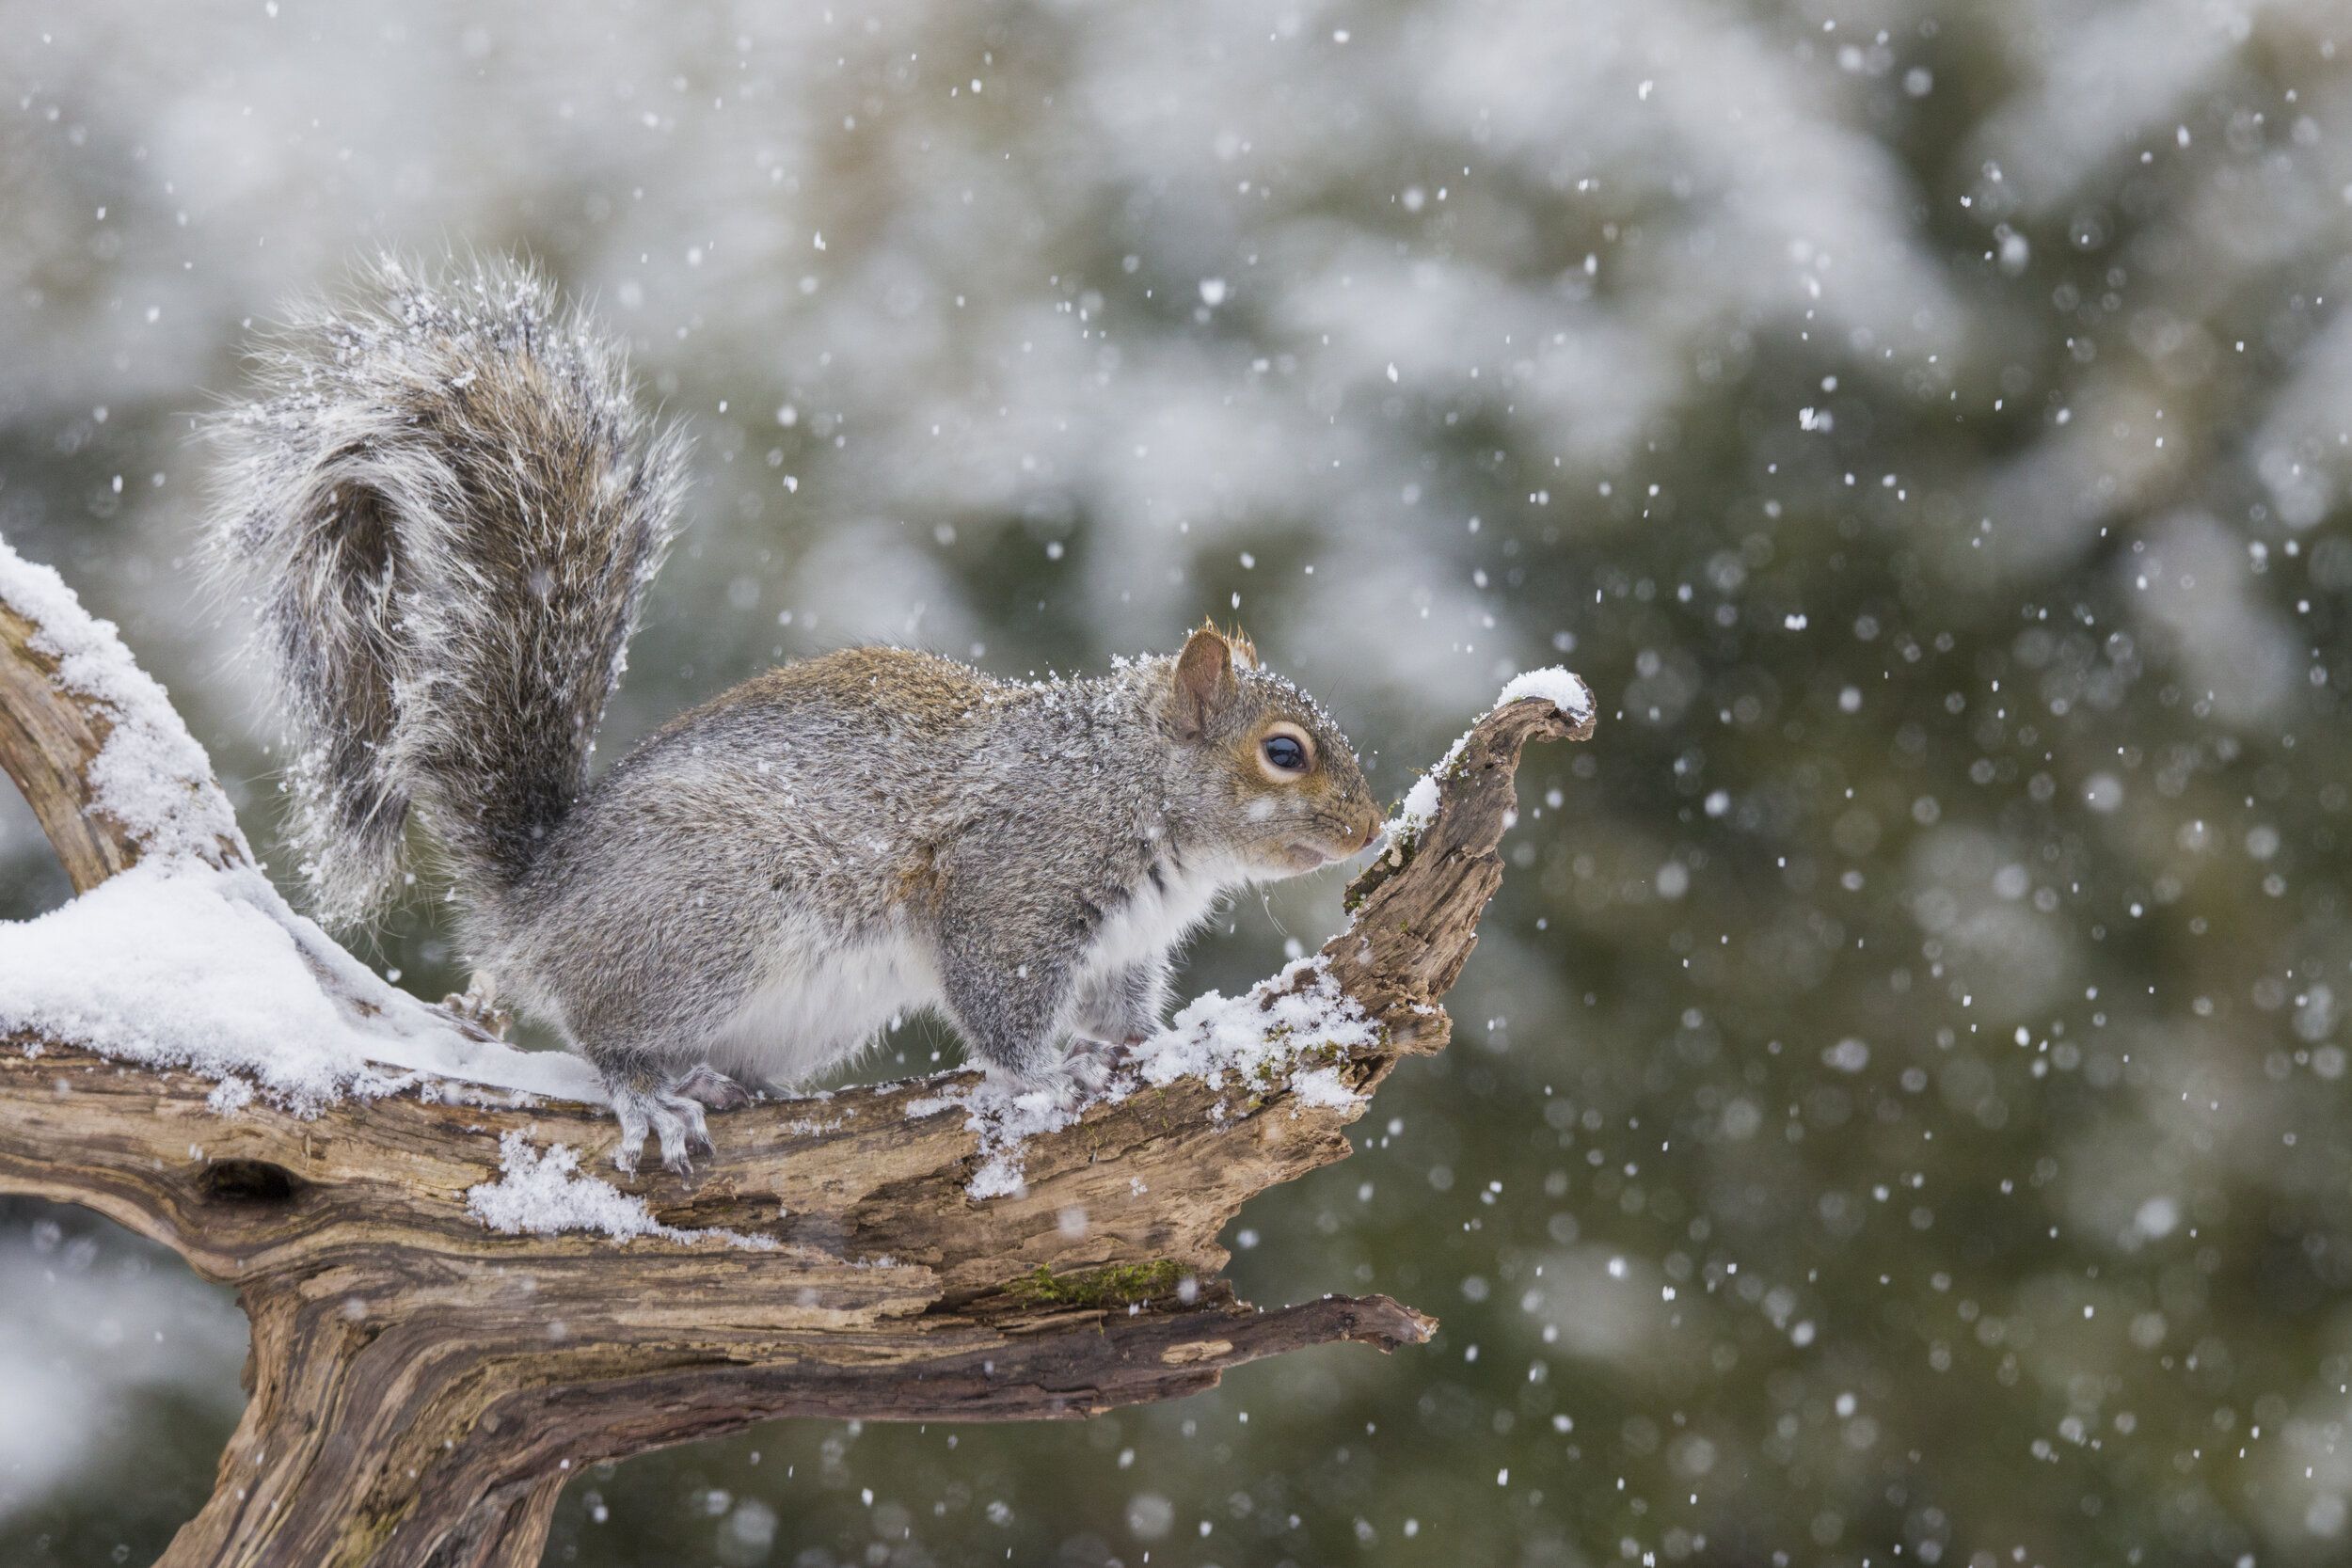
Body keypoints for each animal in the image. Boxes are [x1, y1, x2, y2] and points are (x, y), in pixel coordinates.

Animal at [205, 258, 1382, 1174]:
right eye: (1283, 752)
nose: (1371, 831)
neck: (1133, 783)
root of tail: (537, 899)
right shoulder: (1009, 884)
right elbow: (999, 1005)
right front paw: (1045, 1077)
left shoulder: (1122, 946)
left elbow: (1125, 1009)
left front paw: (1143, 1049)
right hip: (711, 917)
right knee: (601, 1032)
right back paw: (650, 1089)